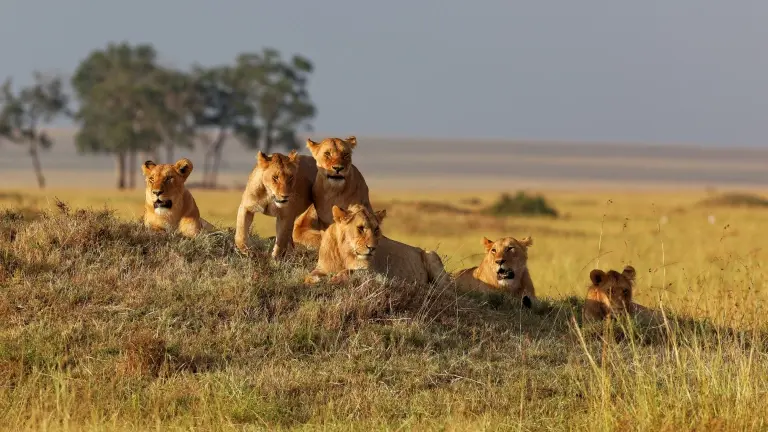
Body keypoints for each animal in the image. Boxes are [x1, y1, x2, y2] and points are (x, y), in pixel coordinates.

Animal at [304, 204, 446, 286]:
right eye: (360, 228)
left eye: (376, 229)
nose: (372, 248)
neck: (345, 254)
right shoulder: (321, 268)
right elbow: (310, 276)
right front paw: (313, 280)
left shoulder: (372, 272)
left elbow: (350, 271)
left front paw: (335, 279)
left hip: (431, 255)